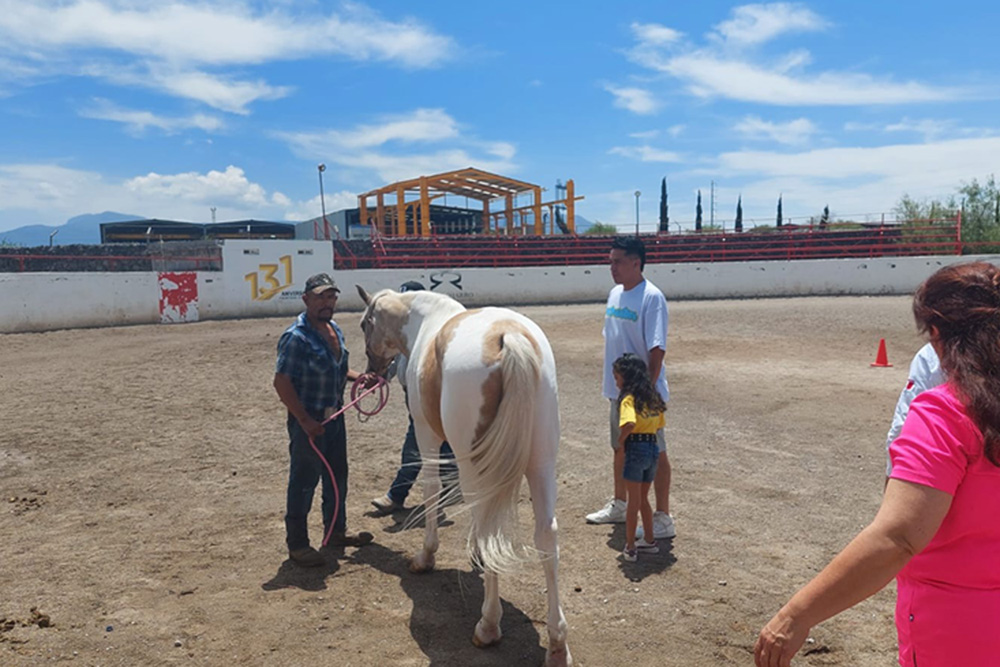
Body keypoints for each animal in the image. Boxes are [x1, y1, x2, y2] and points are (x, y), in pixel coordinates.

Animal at [356, 288, 572, 667]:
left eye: (365, 324)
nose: (371, 372)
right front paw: (476, 557)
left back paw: (487, 626)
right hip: (541, 462)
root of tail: (508, 335)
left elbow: (432, 490)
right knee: (546, 534)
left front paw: (426, 557)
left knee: (487, 520)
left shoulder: (427, 435)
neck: (427, 323)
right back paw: (557, 645)